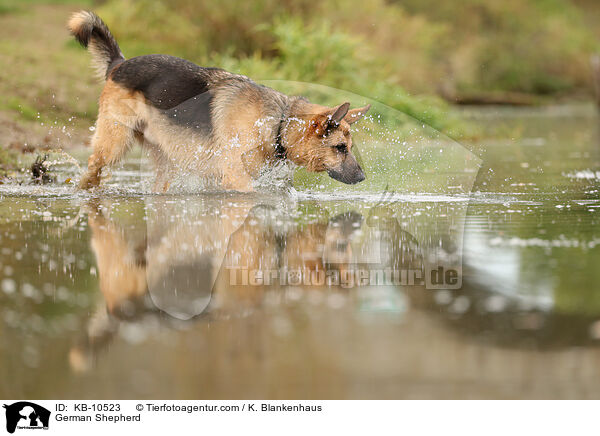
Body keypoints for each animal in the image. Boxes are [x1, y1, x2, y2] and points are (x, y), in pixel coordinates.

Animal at [69, 11, 370, 192]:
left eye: (349, 147)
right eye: (340, 148)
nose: (363, 178)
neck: (278, 122)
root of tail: (119, 64)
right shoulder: (236, 178)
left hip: (166, 161)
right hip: (114, 144)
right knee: (92, 170)